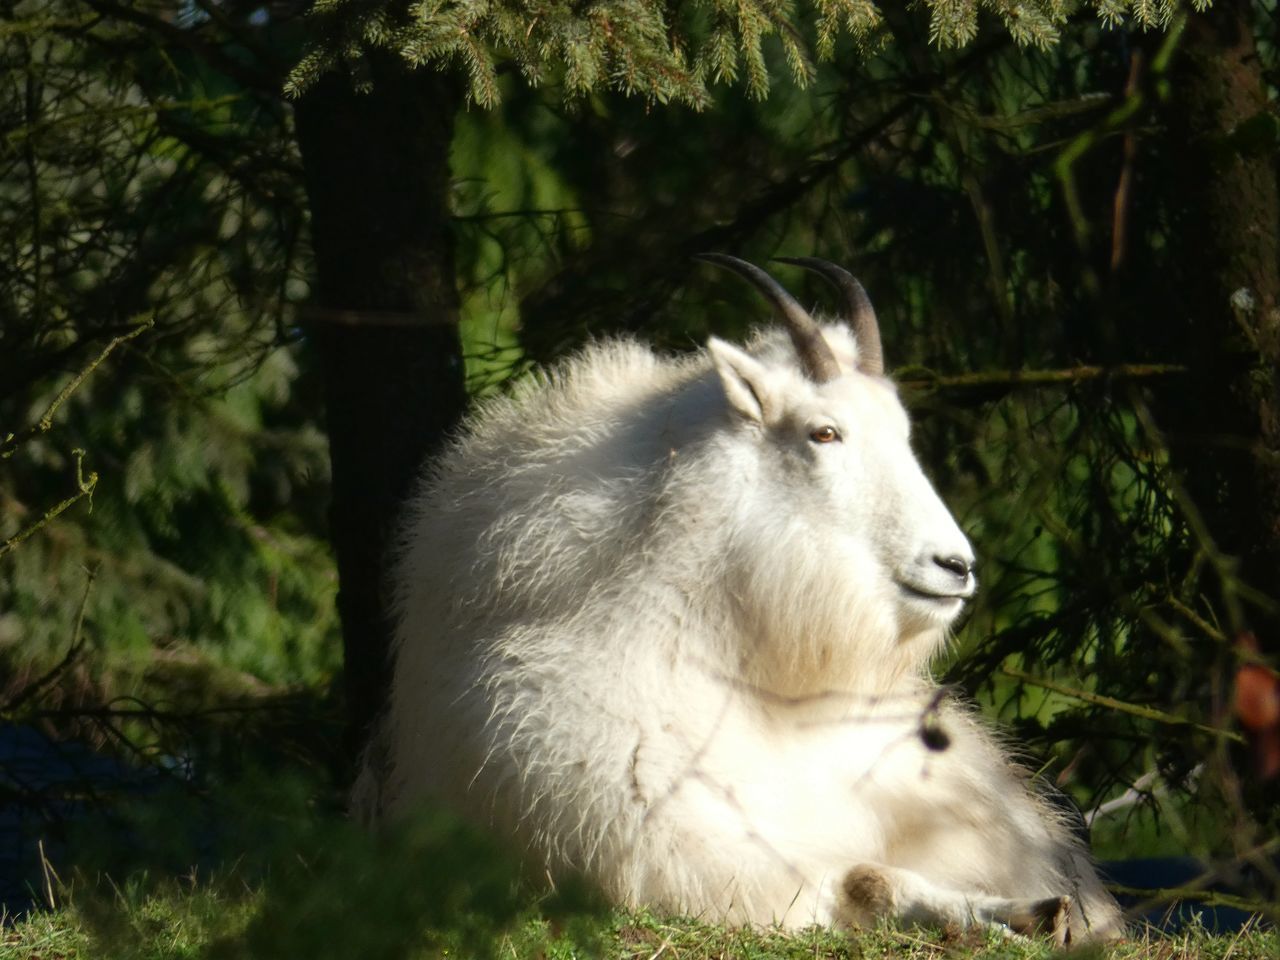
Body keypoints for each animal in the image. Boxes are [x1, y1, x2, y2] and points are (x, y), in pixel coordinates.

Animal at [350, 256, 1121, 947]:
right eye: (824, 431)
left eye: (902, 433)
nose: (954, 566)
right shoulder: (647, 834)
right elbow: (858, 881)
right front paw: (1014, 915)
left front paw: (1042, 911)